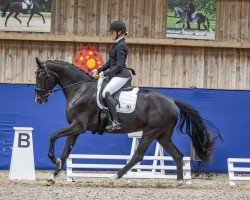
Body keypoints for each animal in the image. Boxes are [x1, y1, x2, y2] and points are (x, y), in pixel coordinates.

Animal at [33, 57, 221, 184]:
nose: (38, 99)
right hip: (162, 135)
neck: (80, 89)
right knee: (177, 155)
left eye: (41, 76)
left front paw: (54, 160)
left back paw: (115, 176)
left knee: (138, 155)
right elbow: (66, 152)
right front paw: (53, 175)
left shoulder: (78, 126)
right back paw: (179, 181)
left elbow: (53, 136)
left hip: (151, 132)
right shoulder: (75, 129)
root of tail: (172, 101)